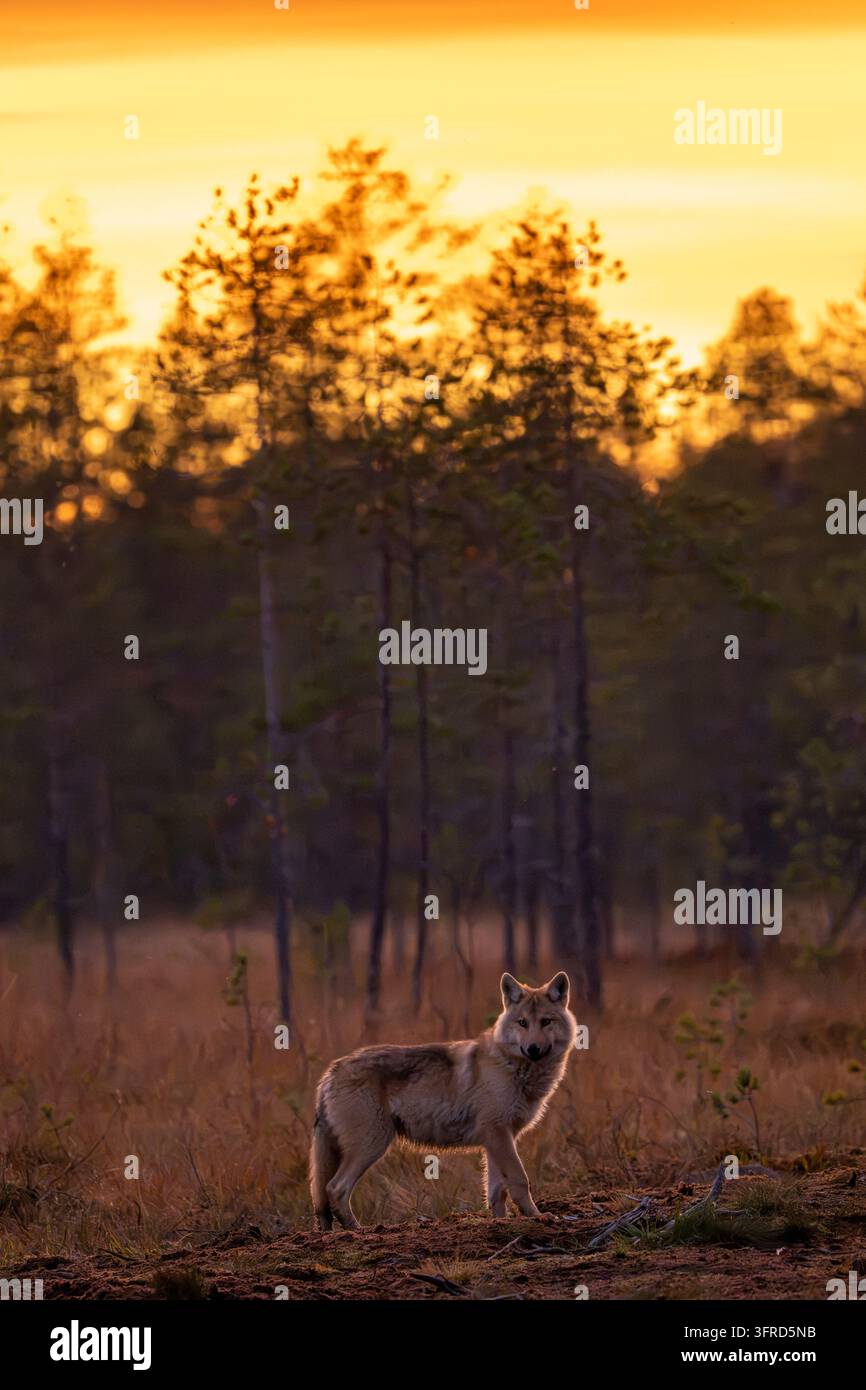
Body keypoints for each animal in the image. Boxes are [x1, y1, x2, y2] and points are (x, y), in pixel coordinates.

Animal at [309, 971, 576, 1230]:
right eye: (522, 1023)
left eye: (546, 1021)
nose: (533, 1049)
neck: (514, 1069)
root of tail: (331, 1071)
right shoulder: (498, 1134)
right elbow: (520, 1180)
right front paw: (537, 1216)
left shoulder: (497, 1139)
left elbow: (496, 1192)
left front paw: (500, 1222)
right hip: (372, 1145)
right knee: (335, 1188)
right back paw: (358, 1230)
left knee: (325, 1195)